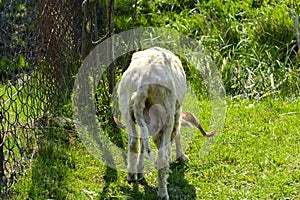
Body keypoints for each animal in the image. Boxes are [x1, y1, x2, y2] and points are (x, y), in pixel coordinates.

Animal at [115, 47, 216, 200]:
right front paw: (181, 157)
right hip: (167, 110)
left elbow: (144, 141)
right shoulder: (176, 112)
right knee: (161, 154)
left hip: (127, 106)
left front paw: (140, 171)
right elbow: (177, 134)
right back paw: (163, 193)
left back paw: (131, 175)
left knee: (133, 142)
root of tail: (143, 85)